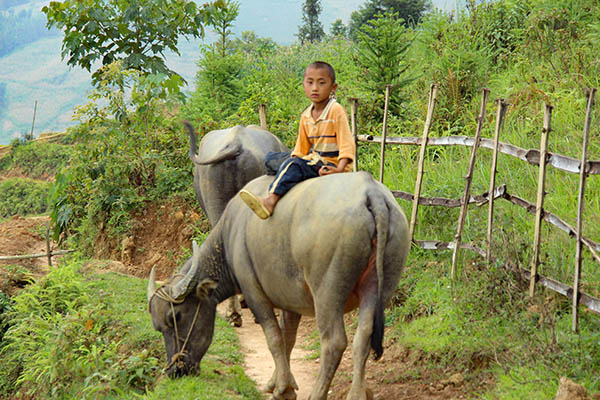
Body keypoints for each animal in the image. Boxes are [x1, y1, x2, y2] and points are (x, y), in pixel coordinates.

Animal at [148, 173, 410, 400]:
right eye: (158, 328)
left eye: (176, 317)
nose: (175, 371)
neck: (230, 235)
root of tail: (372, 194)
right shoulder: (290, 300)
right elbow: (288, 338)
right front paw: (280, 382)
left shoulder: (254, 293)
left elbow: (273, 337)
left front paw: (283, 389)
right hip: (381, 284)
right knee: (362, 338)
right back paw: (357, 394)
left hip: (328, 291)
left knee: (334, 342)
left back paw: (318, 394)